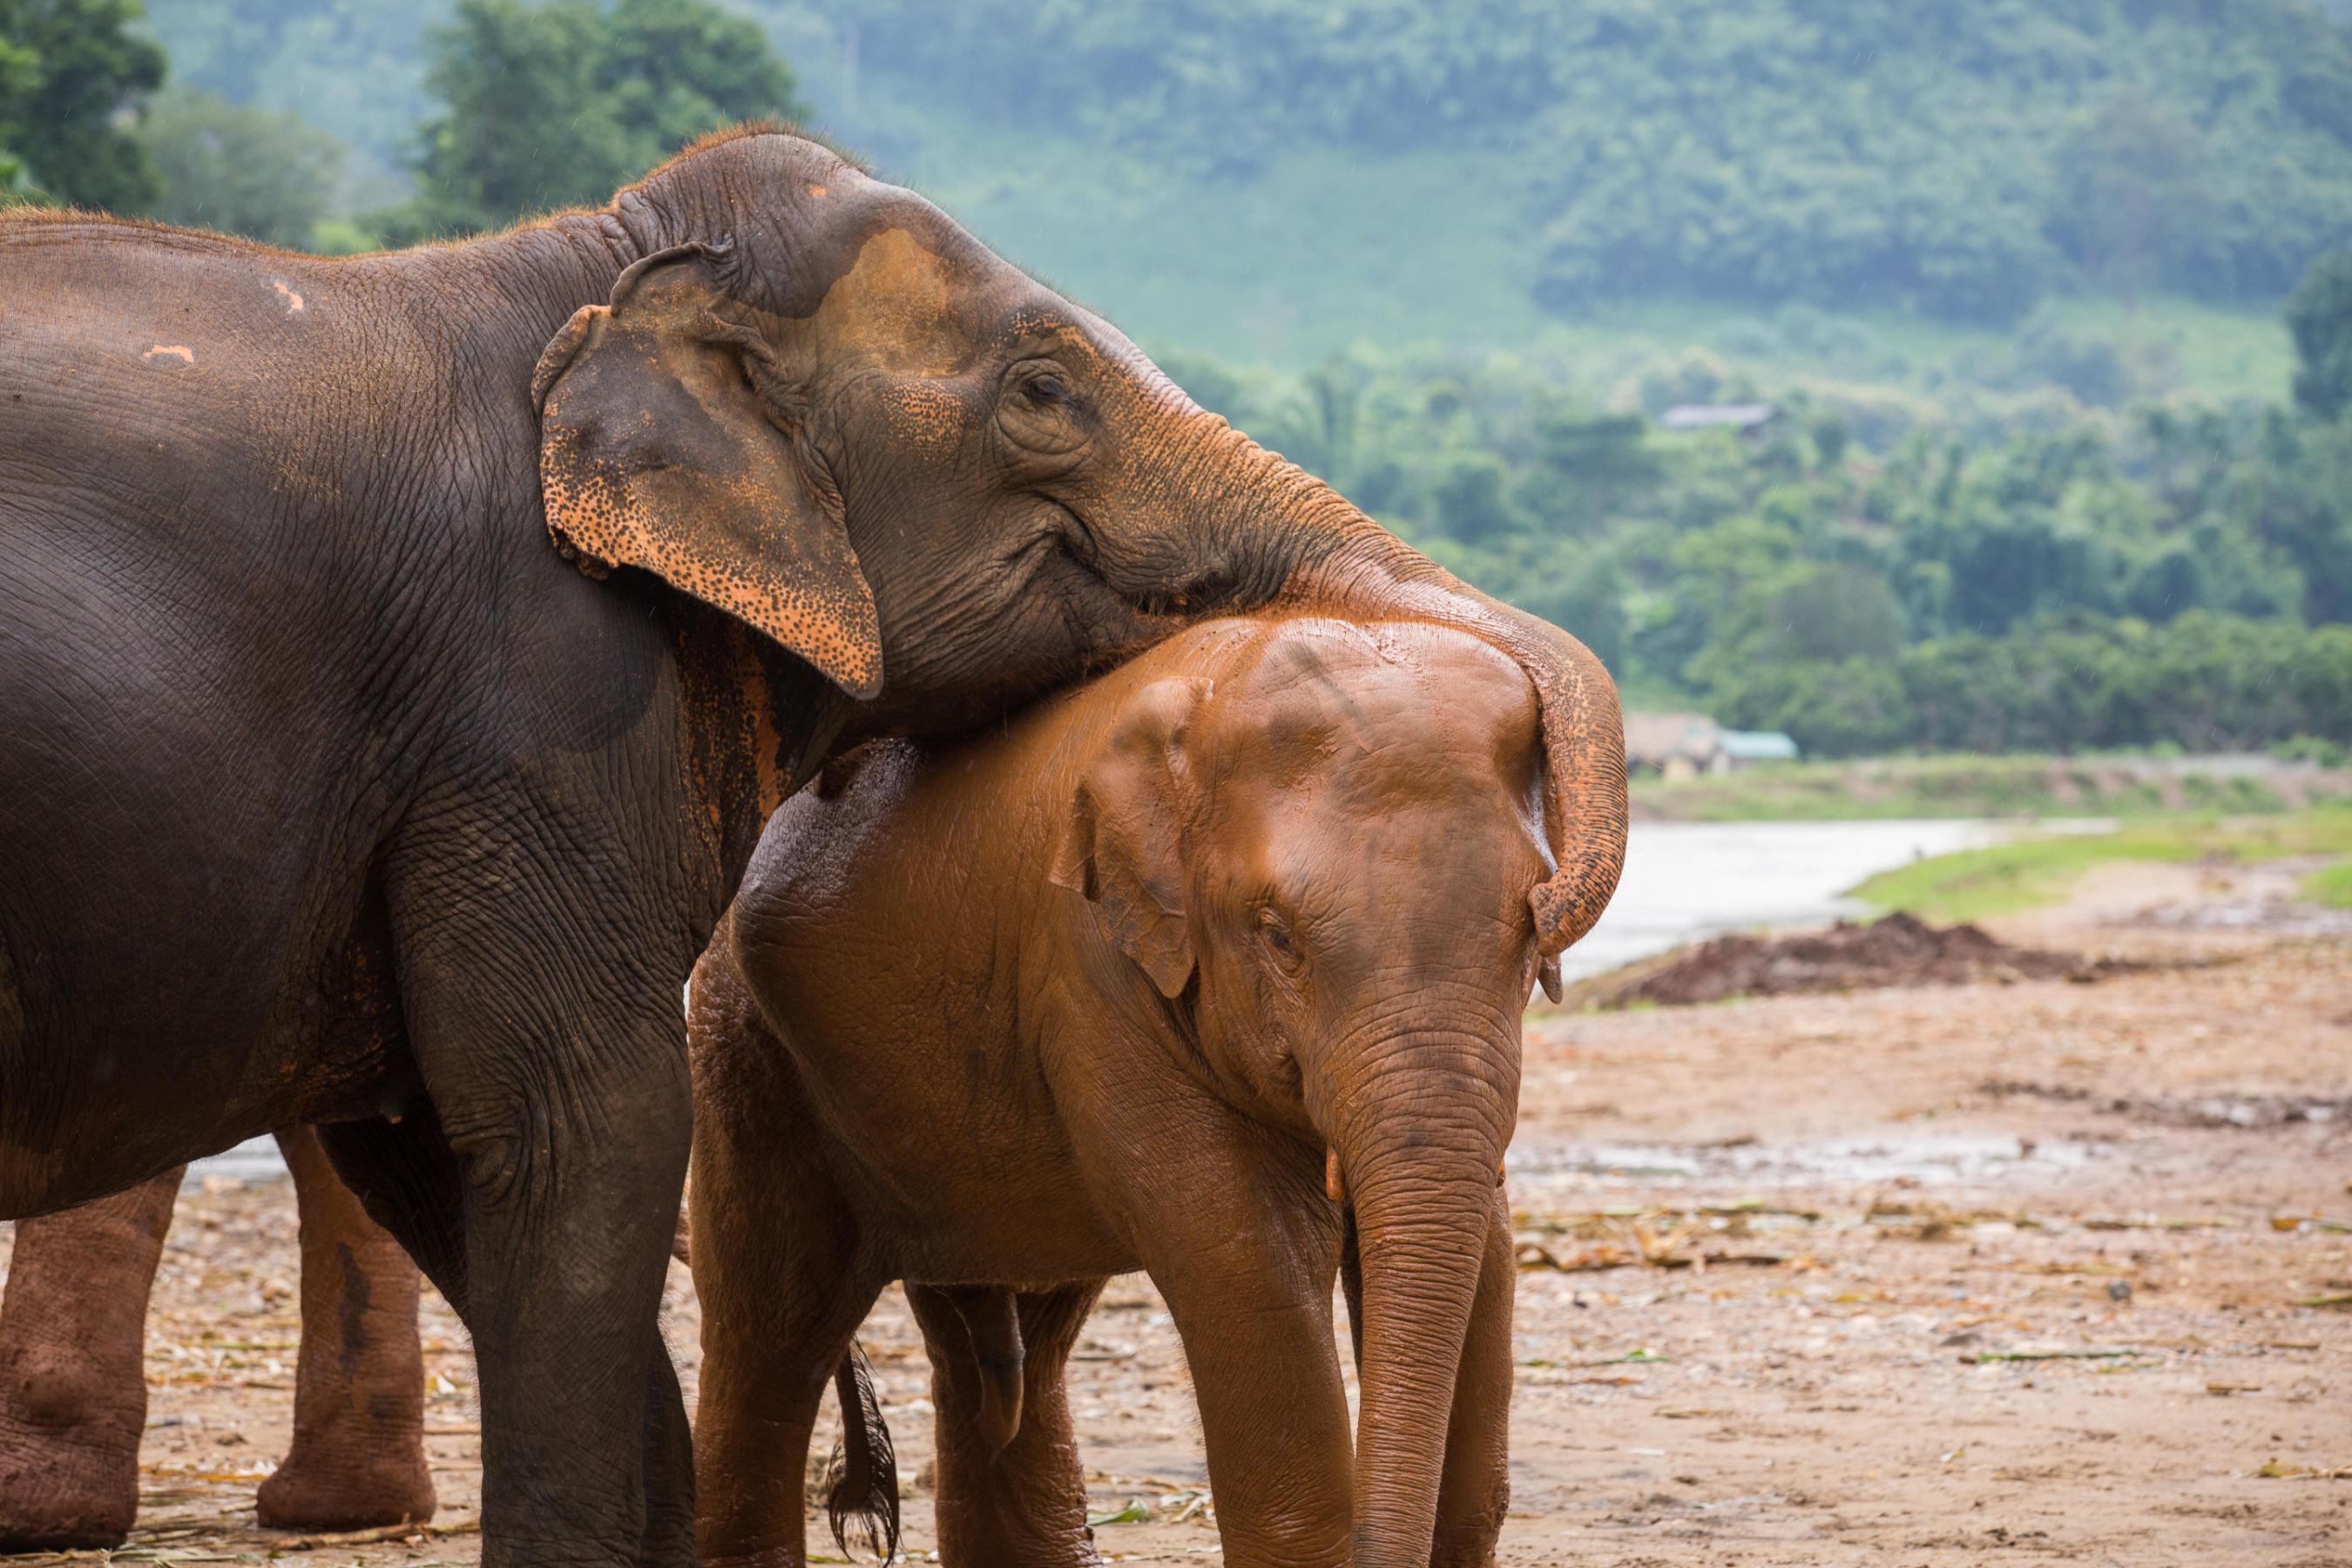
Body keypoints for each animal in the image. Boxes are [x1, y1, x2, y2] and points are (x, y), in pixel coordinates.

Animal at [687, 615, 1572, 1568]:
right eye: (1278, 938)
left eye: (1536, 928)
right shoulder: (1092, 969)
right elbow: (1244, 1249)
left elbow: (1485, 1264)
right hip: (746, 1055)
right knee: (770, 1335)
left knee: (1012, 1354)